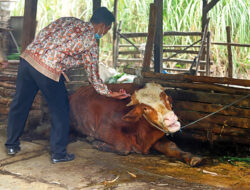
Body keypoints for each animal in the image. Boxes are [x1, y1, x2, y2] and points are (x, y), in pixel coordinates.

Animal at [69, 83, 204, 166]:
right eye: (145, 108)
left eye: (166, 99)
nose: (170, 119)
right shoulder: (103, 130)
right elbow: (123, 147)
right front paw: (97, 143)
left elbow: (172, 146)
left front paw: (193, 157)